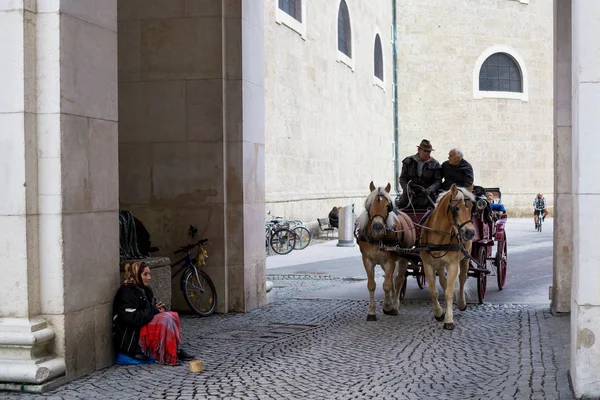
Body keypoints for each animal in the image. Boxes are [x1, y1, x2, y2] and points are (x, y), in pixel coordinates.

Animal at [356, 183, 418, 320]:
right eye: (370, 205)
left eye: (387, 206)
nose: (378, 226)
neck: (377, 239)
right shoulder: (367, 260)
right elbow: (372, 285)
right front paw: (372, 312)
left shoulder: (390, 260)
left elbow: (387, 285)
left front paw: (389, 306)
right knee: (392, 279)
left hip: (403, 257)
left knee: (398, 280)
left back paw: (395, 305)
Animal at [420, 183, 476, 330]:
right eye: (456, 208)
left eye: (472, 207)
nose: (470, 232)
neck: (438, 236)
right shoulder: (428, 265)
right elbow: (434, 291)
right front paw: (439, 313)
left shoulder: (453, 265)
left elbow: (449, 292)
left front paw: (449, 319)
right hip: (439, 265)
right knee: (443, 281)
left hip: (465, 258)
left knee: (462, 279)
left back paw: (461, 303)